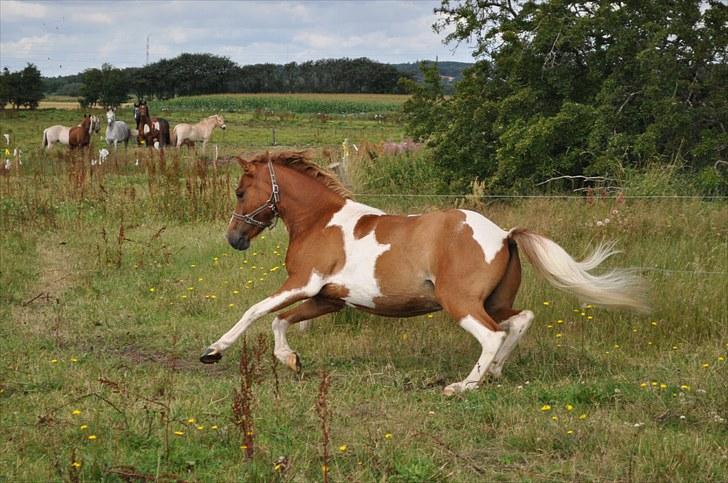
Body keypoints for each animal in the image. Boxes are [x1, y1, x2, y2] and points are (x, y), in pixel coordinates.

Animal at [200, 151, 648, 398]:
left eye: (241, 191)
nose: (234, 239)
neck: (320, 221)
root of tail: (504, 234)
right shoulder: (329, 298)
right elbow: (280, 320)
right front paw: (291, 361)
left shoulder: (303, 283)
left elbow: (255, 311)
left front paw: (213, 351)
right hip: (494, 301)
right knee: (521, 320)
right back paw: (494, 373)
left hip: (460, 303)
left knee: (493, 335)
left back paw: (463, 387)